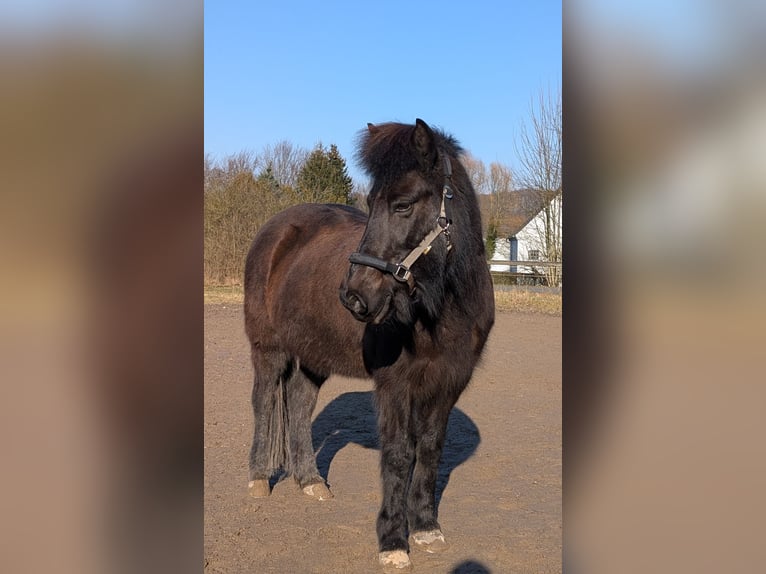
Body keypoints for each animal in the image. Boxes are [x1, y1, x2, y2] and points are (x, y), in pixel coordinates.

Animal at [246, 119, 498, 568]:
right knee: (264, 403)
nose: (354, 296)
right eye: (370, 202)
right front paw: (393, 541)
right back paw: (259, 479)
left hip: (314, 353)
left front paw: (426, 527)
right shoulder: (395, 385)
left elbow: (430, 450)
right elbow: (398, 455)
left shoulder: (449, 383)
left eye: (402, 205)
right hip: (268, 348)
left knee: (299, 403)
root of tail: (275, 231)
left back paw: (310, 481)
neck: (440, 311)